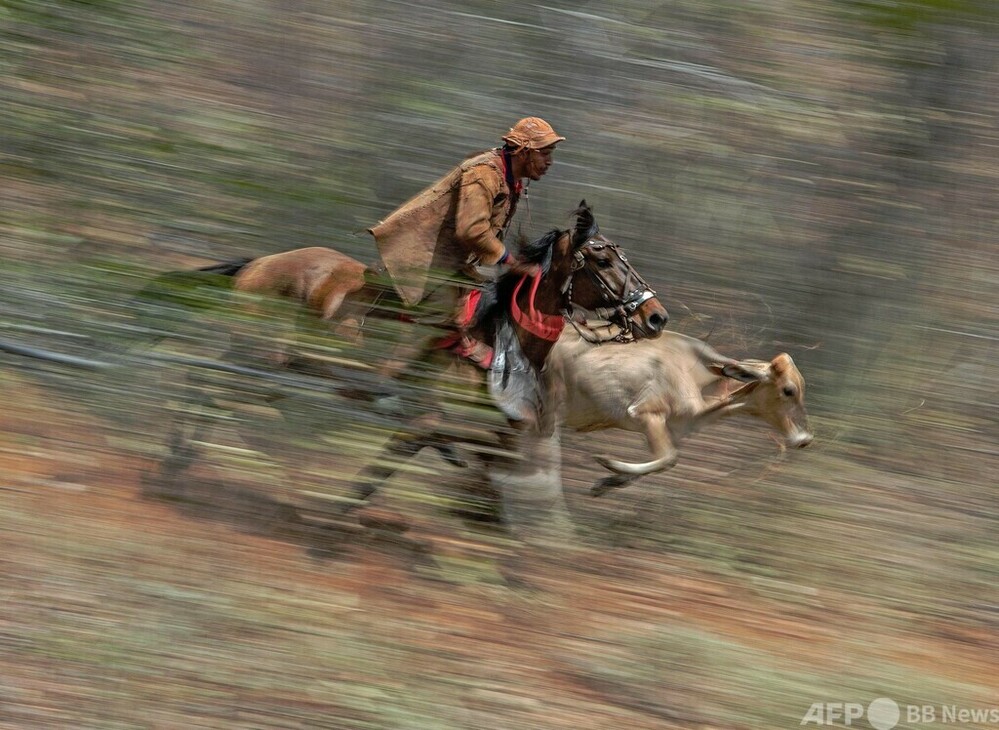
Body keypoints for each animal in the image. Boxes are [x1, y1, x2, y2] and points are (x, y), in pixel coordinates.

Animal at [548, 328, 812, 492]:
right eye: (789, 390)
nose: (805, 439)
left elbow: (662, 460)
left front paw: (606, 482)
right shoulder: (646, 414)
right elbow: (668, 459)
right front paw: (607, 464)